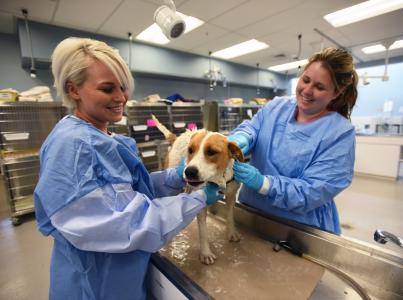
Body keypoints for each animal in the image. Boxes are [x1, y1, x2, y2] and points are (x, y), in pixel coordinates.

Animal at [151, 115, 243, 264]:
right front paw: (205, 253)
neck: (217, 180)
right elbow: (203, 231)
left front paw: (231, 233)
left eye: (212, 152)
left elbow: (230, 216)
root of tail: (178, 137)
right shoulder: (201, 203)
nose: (189, 171)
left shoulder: (231, 196)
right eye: (190, 150)